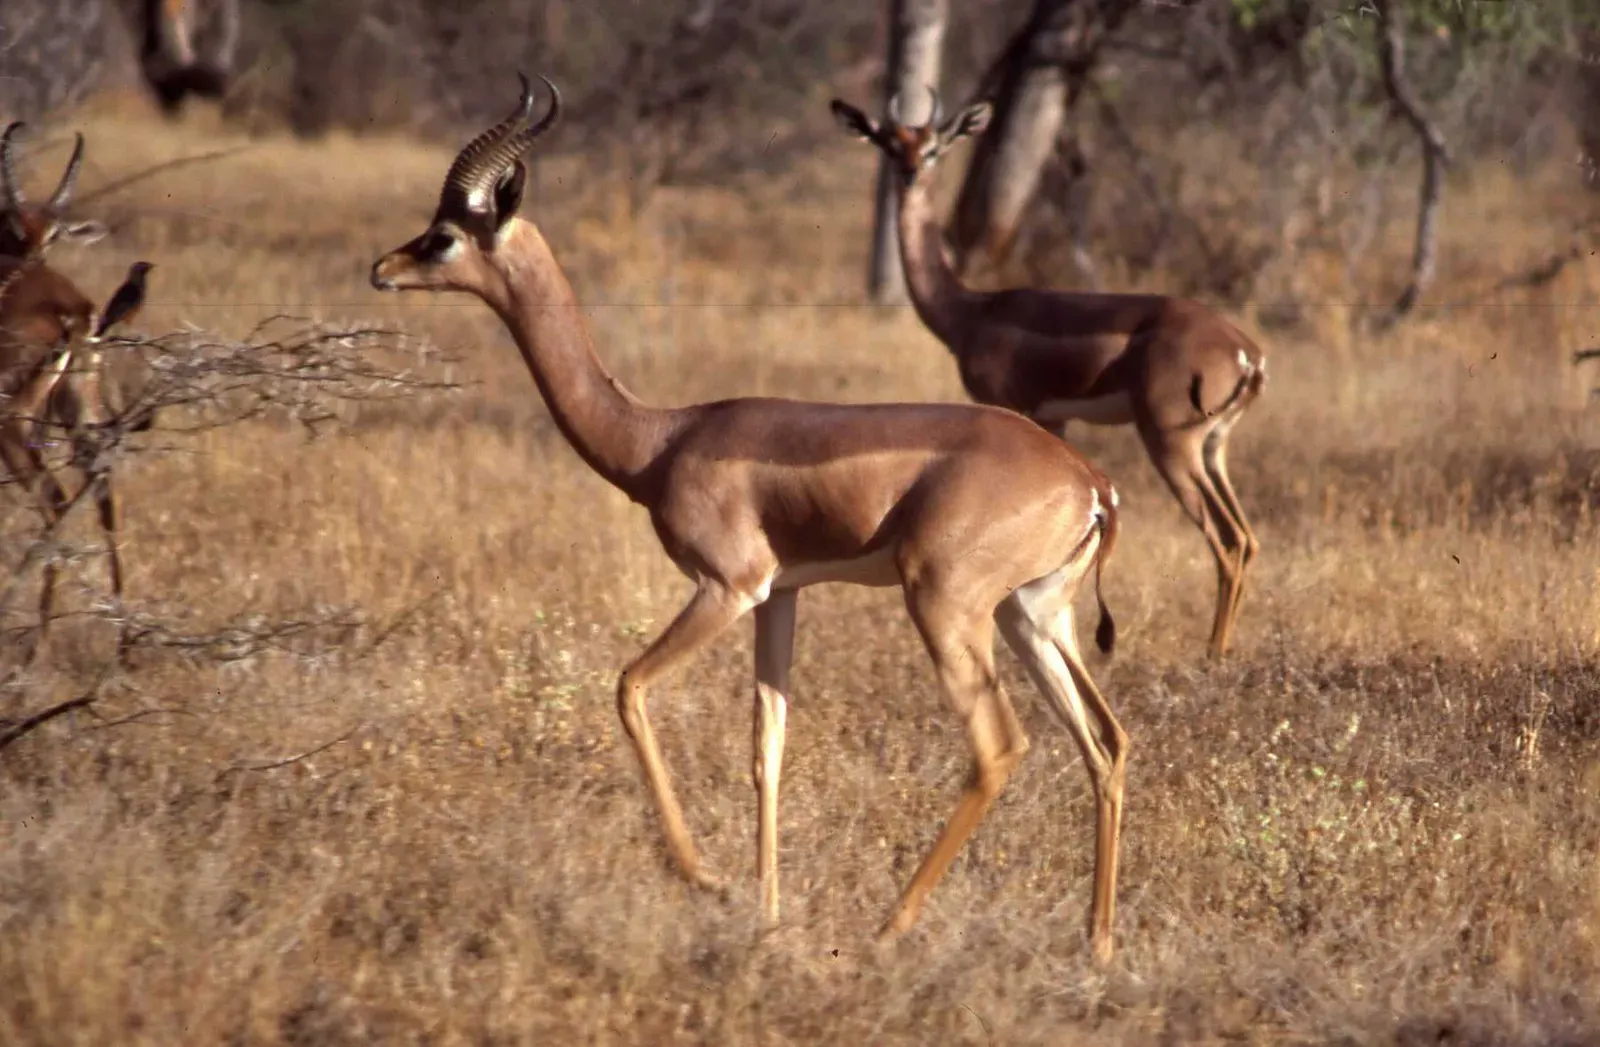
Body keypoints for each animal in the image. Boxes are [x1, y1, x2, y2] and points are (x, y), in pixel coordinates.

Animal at [372, 74, 1137, 962]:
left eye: (443, 235)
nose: (382, 267)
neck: (662, 438)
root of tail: (1090, 480)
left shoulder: (727, 586)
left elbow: (630, 686)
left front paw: (707, 878)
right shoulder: (781, 594)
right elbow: (767, 744)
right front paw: (766, 914)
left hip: (946, 605)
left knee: (999, 746)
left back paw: (889, 925)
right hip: (1032, 614)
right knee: (1105, 740)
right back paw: (1097, 945)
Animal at [833, 91, 1268, 660]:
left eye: (933, 147)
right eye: (890, 143)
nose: (908, 174)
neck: (971, 311)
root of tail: (1244, 351)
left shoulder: (1014, 406)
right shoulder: (1056, 421)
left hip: (1172, 445)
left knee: (1226, 541)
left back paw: (1212, 653)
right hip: (1215, 448)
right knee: (1246, 536)